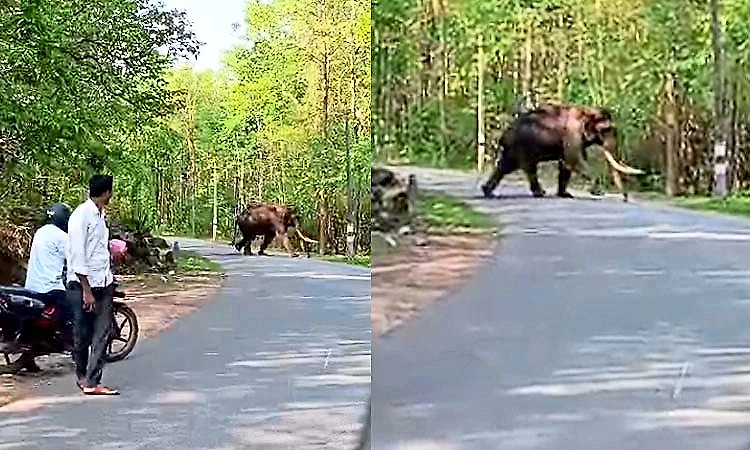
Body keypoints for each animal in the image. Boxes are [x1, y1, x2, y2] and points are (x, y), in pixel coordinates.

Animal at [481, 102, 644, 202]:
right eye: (606, 130)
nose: (625, 198)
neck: (587, 111)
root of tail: (504, 135)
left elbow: (566, 164)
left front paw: (565, 195)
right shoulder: (572, 133)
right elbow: (574, 159)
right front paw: (598, 192)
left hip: (514, 149)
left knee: (505, 166)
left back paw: (488, 192)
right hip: (523, 146)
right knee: (528, 168)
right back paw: (540, 193)